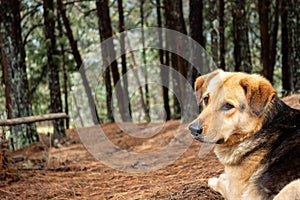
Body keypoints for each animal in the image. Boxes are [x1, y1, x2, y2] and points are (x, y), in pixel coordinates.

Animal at [190, 69, 300, 199]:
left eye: (228, 106)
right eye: (206, 99)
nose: (192, 129)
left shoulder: (235, 193)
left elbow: (220, 182)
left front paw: (215, 179)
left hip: (291, 187)